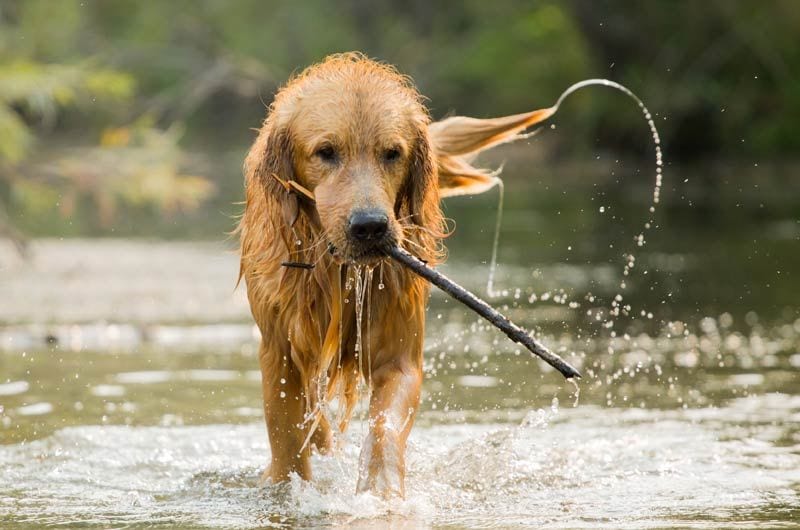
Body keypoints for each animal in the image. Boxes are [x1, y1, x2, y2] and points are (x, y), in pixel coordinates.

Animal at [239, 51, 556, 492]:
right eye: (326, 152)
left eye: (392, 153)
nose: (370, 226)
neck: (340, 275)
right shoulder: (279, 354)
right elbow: (287, 446)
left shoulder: (399, 353)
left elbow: (384, 428)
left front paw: (381, 492)